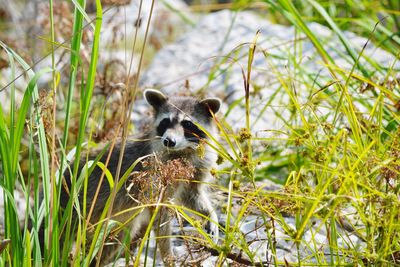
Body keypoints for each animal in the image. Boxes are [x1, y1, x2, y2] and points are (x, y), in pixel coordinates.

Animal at [55, 90, 220, 266]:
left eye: (187, 124)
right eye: (165, 122)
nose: (169, 141)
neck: (183, 150)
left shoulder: (195, 169)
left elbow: (193, 195)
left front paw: (210, 215)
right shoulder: (155, 174)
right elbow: (159, 217)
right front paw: (167, 254)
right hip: (72, 209)